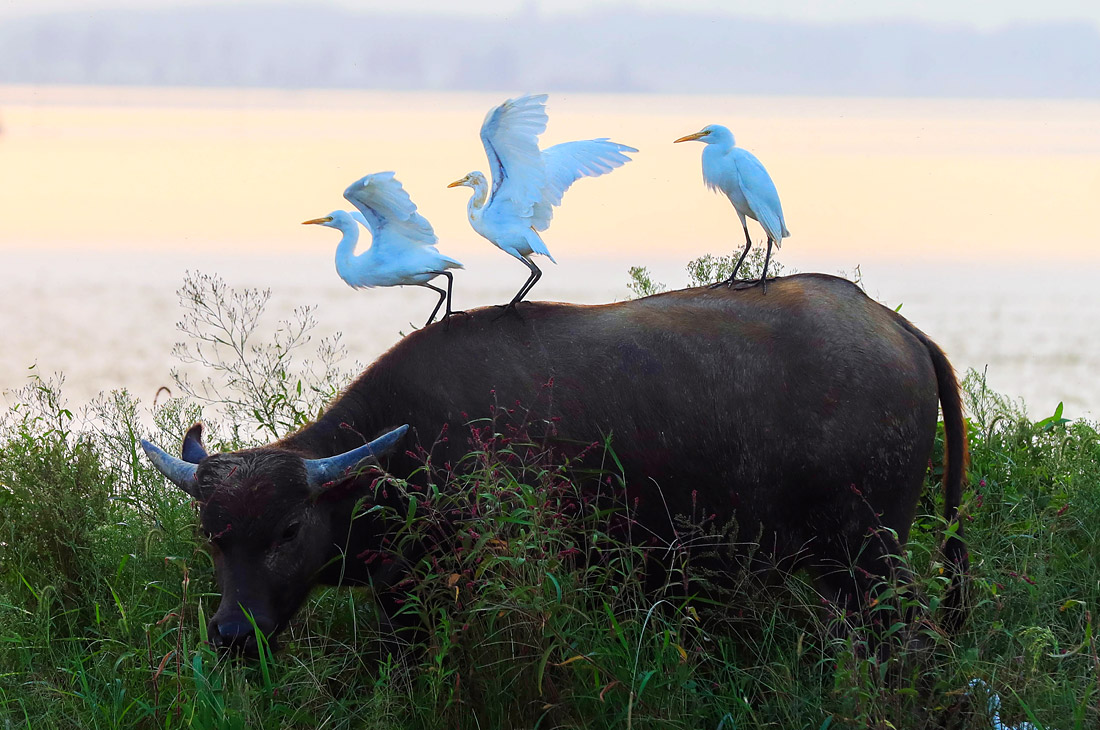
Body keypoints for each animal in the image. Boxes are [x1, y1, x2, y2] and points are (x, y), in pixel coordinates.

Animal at [141, 272, 968, 650]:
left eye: (287, 531)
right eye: (213, 537)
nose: (231, 634)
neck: (411, 448)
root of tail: (898, 326)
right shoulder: (403, 599)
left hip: (874, 555)